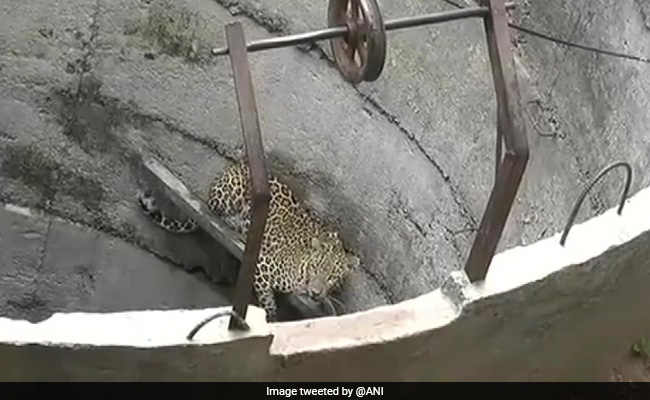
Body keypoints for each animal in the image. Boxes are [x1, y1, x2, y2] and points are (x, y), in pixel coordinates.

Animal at [137, 161, 359, 322]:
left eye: (331, 277)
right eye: (314, 268)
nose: (314, 292)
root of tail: (236, 166)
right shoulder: (262, 264)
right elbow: (268, 300)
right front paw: (269, 317)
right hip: (230, 193)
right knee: (216, 211)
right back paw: (239, 226)